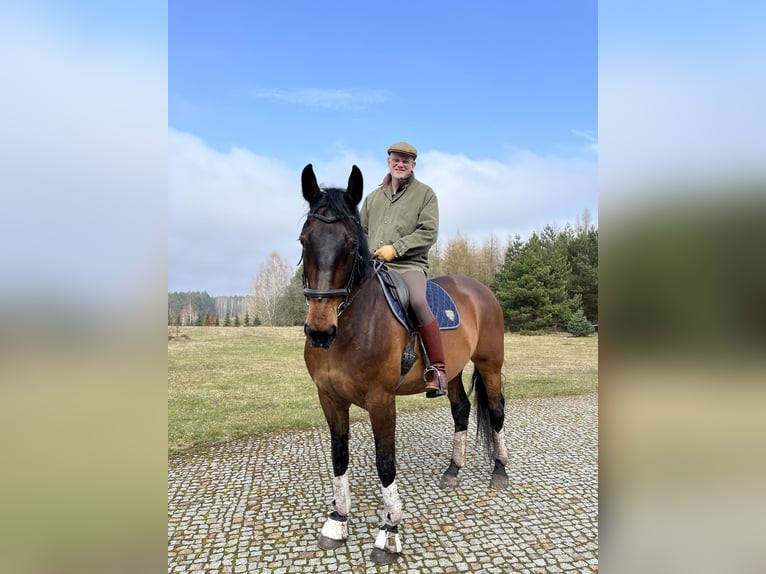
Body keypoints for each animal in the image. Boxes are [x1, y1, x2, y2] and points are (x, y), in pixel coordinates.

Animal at [300, 164, 510, 564]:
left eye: (351, 244)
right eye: (305, 240)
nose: (319, 331)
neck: (349, 328)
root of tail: (480, 290)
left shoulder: (382, 400)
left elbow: (385, 462)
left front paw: (390, 532)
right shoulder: (328, 397)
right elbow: (339, 455)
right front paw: (337, 521)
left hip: (490, 365)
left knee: (495, 410)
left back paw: (500, 471)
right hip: (452, 372)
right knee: (461, 409)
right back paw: (453, 470)